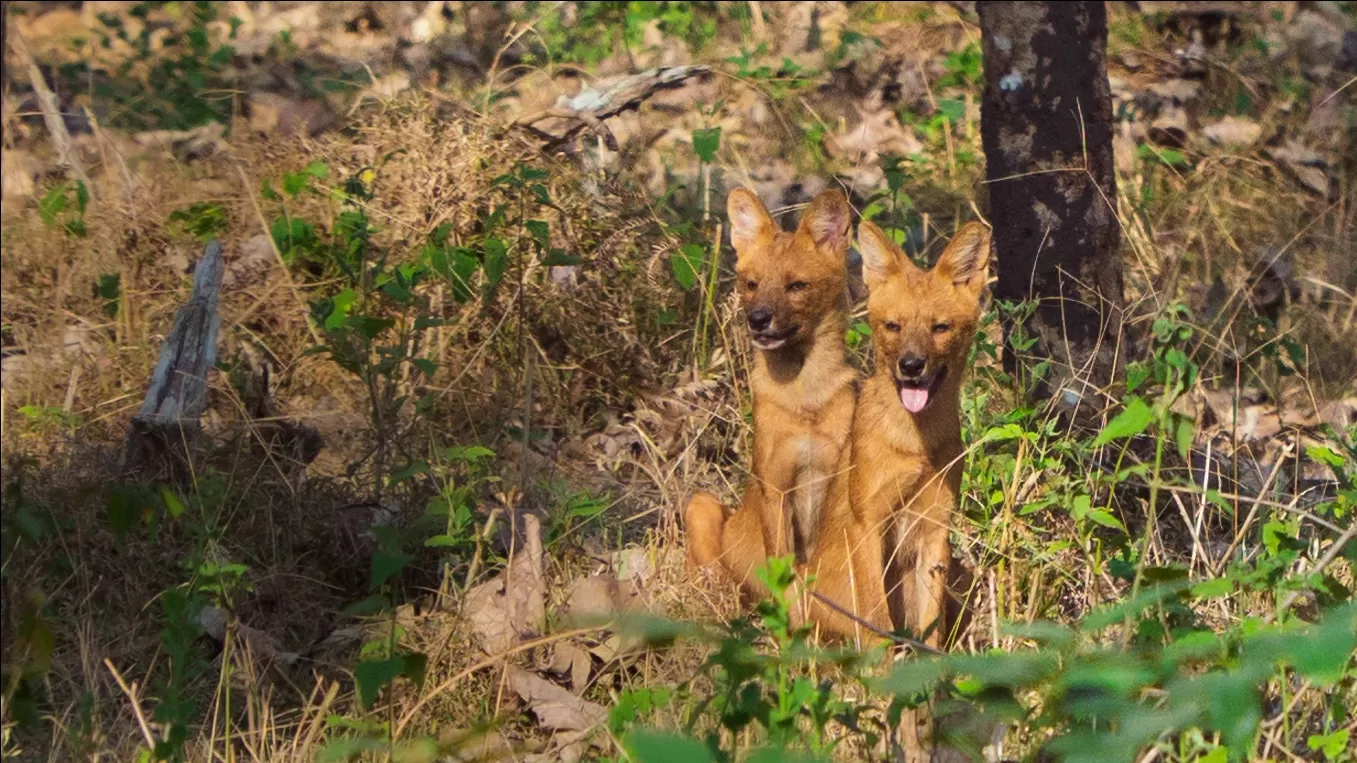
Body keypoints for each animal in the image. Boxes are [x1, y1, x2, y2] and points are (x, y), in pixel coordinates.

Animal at [683, 185, 852, 594]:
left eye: (796, 285)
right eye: (751, 284)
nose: (757, 318)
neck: (804, 396)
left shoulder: (835, 481)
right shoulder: (774, 487)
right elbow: (781, 568)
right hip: (702, 505)